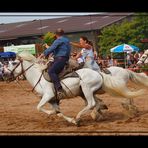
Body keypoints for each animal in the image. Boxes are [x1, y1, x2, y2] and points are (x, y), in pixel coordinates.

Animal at [6, 51, 145, 125]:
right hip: (86, 91)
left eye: (13, 63)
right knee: (98, 102)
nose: (5, 74)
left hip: (87, 89)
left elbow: (39, 107)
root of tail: (99, 74)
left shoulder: (48, 96)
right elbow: (58, 112)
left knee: (92, 103)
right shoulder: (53, 100)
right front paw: (70, 120)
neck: (39, 77)